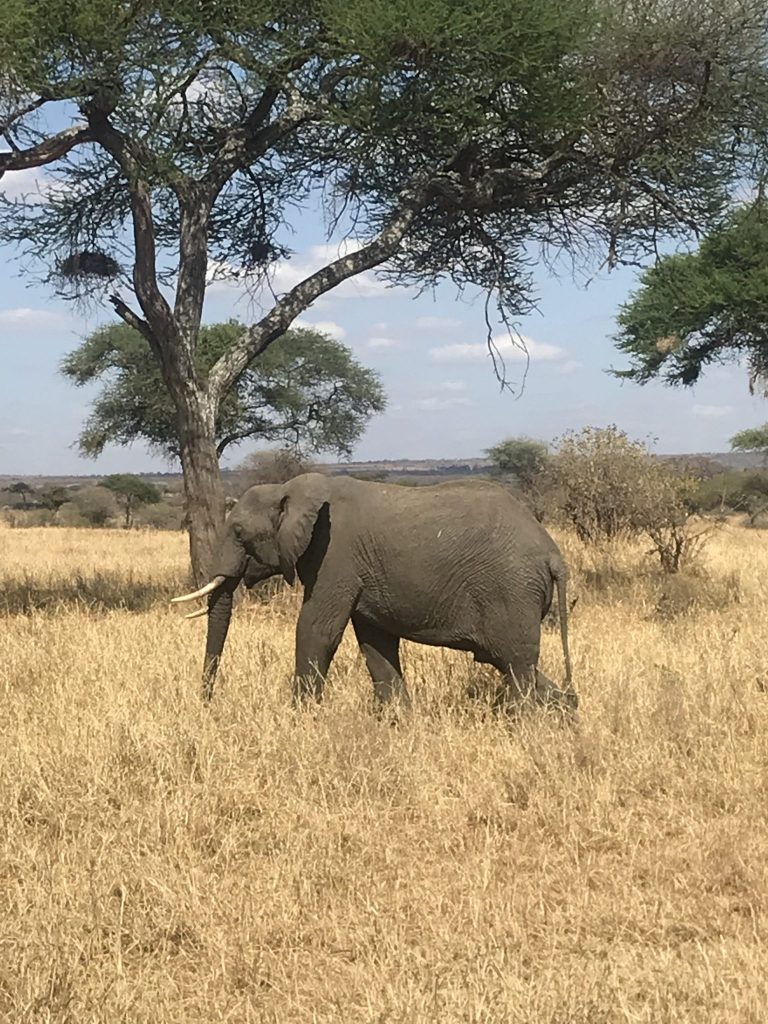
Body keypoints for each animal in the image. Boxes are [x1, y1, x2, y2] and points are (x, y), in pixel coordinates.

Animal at [169, 471, 577, 712]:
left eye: (239, 533)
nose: (206, 704)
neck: (289, 488)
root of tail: (554, 555)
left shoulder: (334, 553)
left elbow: (317, 628)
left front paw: (301, 719)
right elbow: (375, 640)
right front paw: (398, 722)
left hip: (512, 592)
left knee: (517, 666)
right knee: (512, 663)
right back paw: (566, 715)